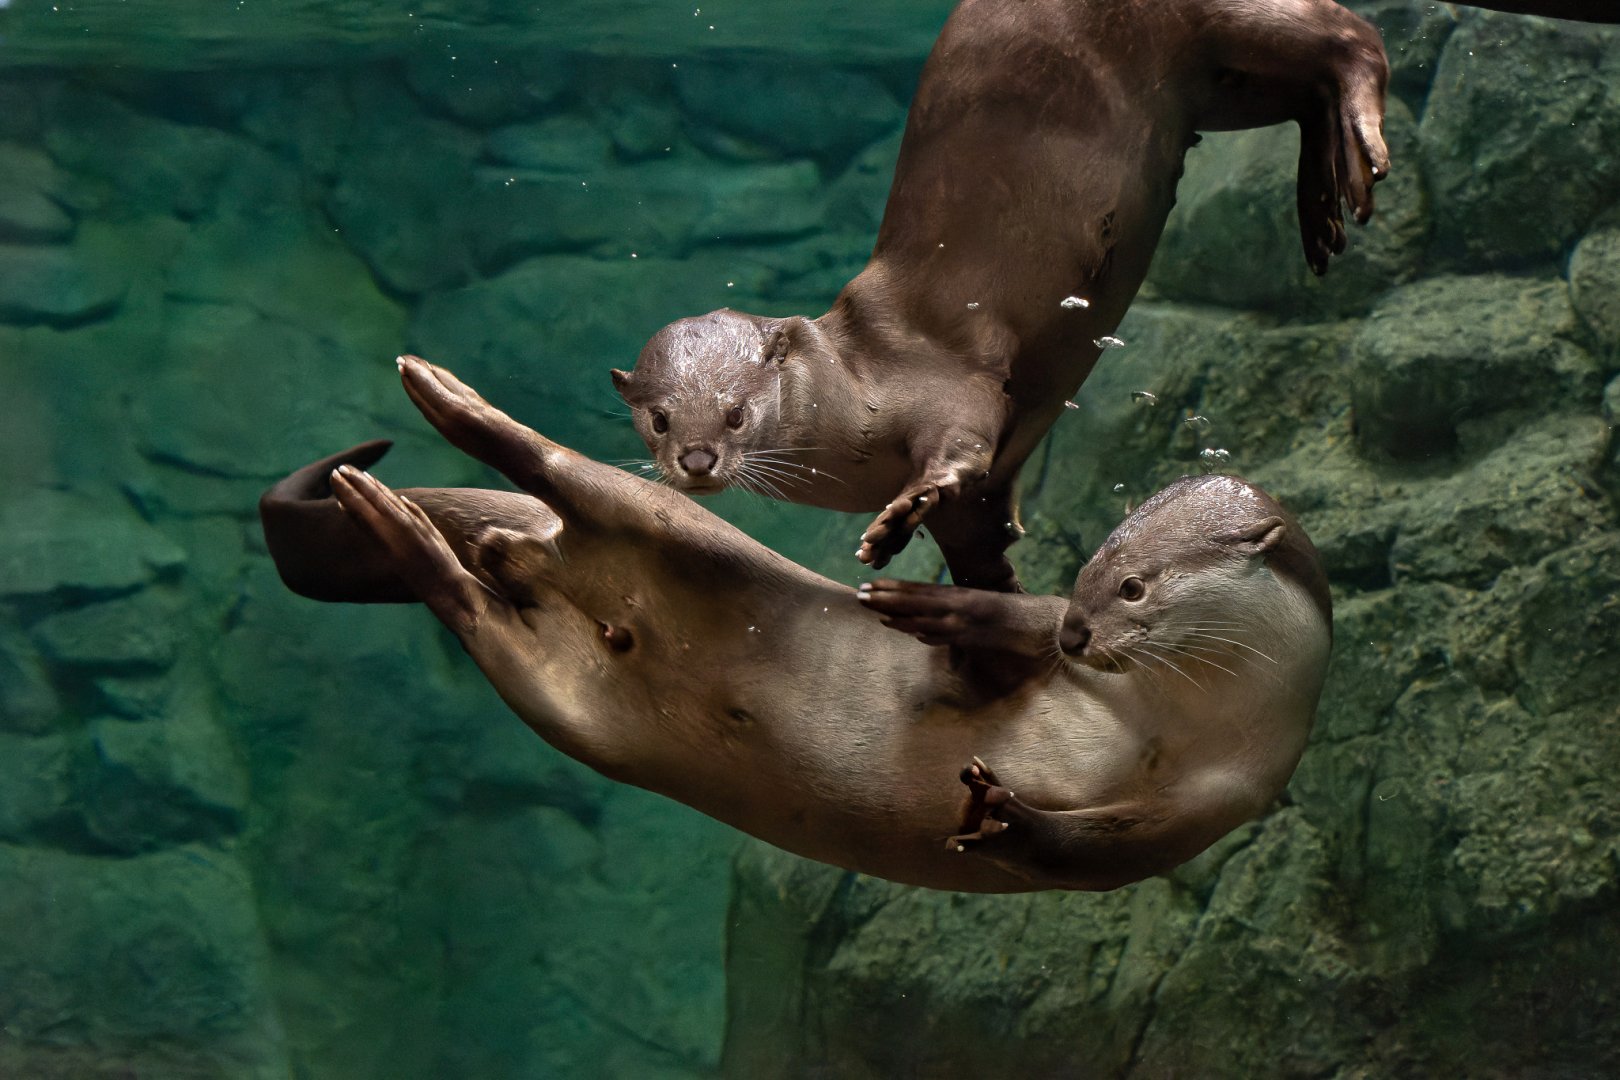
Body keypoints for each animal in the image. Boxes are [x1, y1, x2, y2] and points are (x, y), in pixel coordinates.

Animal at [260, 356, 1332, 891]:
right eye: (1092, 574)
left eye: (1136, 590)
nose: (1077, 631)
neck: (1171, 718)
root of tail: (542, 549)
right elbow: (992, 637)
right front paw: (933, 604)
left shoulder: (1217, 801)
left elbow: (1086, 853)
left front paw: (1000, 812)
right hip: (680, 527)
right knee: (562, 469)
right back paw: (442, 399)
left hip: (561, 693)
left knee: (474, 605)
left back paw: (409, 526)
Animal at [613, 0, 1395, 591]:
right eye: (659, 419)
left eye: (736, 413)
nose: (696, 460)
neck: (853, 389)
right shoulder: (971, 508)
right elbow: (975, 532)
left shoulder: (946, 384)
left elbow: (965, 445)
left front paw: (895, 521)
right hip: (1228, 87)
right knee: (1306, 82)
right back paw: (1320, 203)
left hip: (1217, 22)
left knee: (1351, 35)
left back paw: (1360, 155)